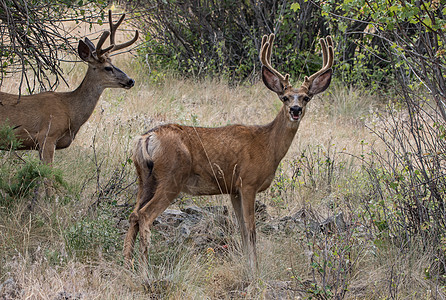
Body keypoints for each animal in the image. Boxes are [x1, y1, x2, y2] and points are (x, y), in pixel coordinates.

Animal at [123, 34, 332, 274]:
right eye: (285, 97)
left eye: (306, 97)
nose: (295, 110)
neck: (267, 145)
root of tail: (146, 138)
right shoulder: (248, 182)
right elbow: (251, 230)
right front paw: (255, 270)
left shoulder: (233, 189)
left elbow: (241, 230)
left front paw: (248, 265)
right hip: (172, 177)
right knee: (144, 215)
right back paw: (144, 269)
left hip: (145, 179)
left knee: (133, 214)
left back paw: (127, 264)